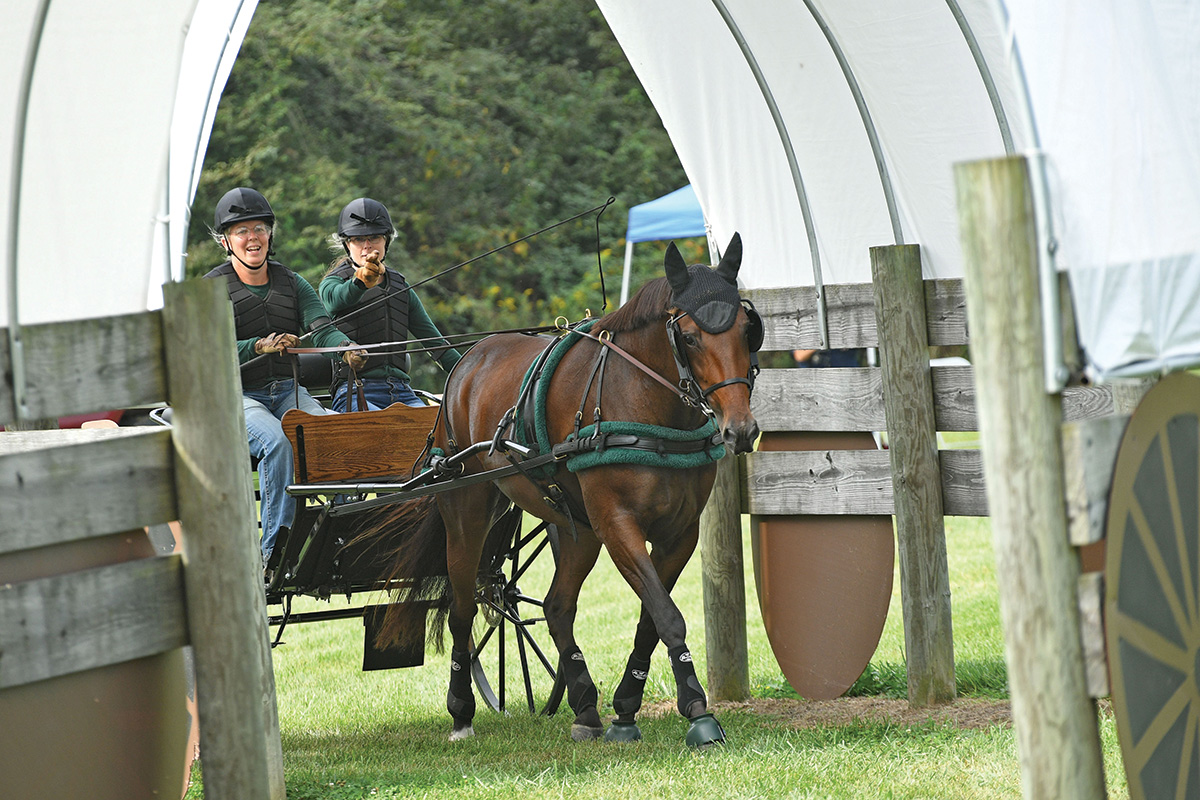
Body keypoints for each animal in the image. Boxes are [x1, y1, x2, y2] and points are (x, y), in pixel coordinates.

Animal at [369, 235, 758, 748]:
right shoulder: (617, 525)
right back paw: (461, 712)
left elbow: (651, 619)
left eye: (747, 330)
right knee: (463, 608)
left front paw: (625, 711)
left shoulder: (679, 534)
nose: (741, 430)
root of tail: (466, 362)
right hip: (468, 509)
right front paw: (698, 711)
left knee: (556, 606)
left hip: (575, 528)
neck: (644, 405)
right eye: (689, 336)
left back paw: (586, 707)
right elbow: (667, 614)